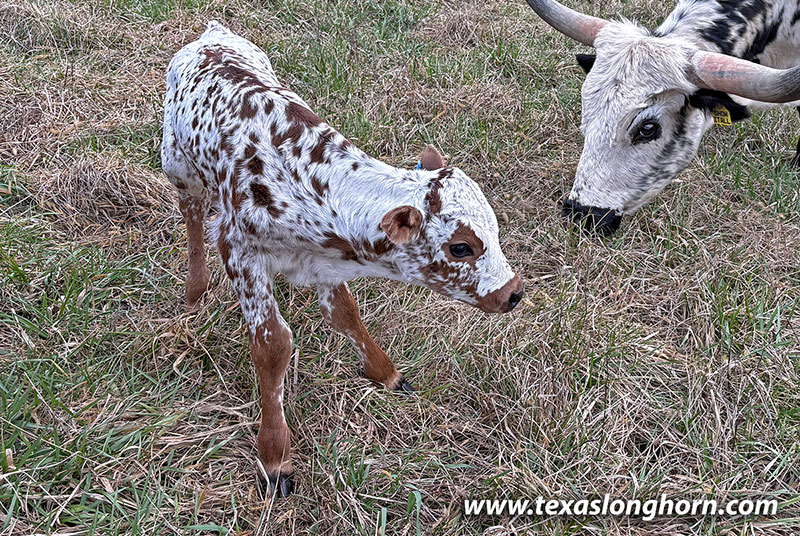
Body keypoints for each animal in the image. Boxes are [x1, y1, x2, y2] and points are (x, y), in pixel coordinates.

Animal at [162, 21, 523, 498]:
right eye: (460, 247)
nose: (512, 293)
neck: (308, 183)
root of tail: (211, 33)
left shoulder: (326, 264)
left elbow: (346, 315)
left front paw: (385, 373)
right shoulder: (239, 251)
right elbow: (273, 345)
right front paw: (274, 455)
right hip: (178, 166)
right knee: (191, 216)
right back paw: (194, 288)